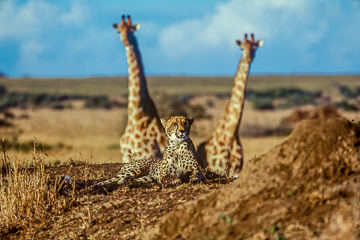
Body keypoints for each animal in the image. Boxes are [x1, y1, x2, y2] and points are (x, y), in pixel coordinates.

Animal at [195, 33, 262, 176]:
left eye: (255, 48)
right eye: (242, 48)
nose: (249, 58)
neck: (231, 134)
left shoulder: (236, 170)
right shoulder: (220, 170)